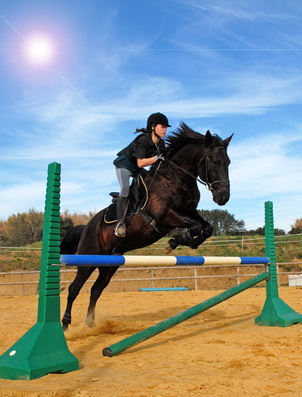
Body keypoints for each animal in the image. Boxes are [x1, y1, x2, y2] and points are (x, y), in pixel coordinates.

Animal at [60, 123, 231, 328]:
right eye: (214, 162)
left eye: (228, 162)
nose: (223, 197)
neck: (176, 177)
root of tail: (86, 226)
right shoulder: (166, 216)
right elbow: (196, 227)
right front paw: (174, 242)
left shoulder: (190, 212)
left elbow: (206, 228)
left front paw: (188, 242)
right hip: (88, 259)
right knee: (74, 288)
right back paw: (66, 324)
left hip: (110, 263)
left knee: (96, 290)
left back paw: (90, 323)